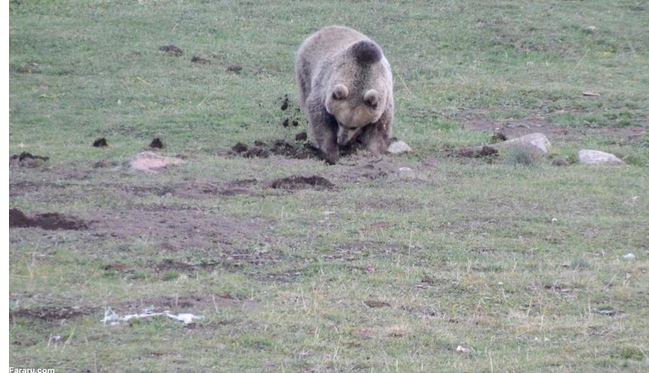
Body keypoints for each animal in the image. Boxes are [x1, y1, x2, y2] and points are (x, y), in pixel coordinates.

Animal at [294, 24, 394, 161]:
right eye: (340, 122)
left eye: (354, 126)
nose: (341, 140)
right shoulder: (325, 89)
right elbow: (320, 118)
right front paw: (330, 153)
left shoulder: (383, 101)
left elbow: (379, 128)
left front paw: (373, 152)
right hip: (306, 70)